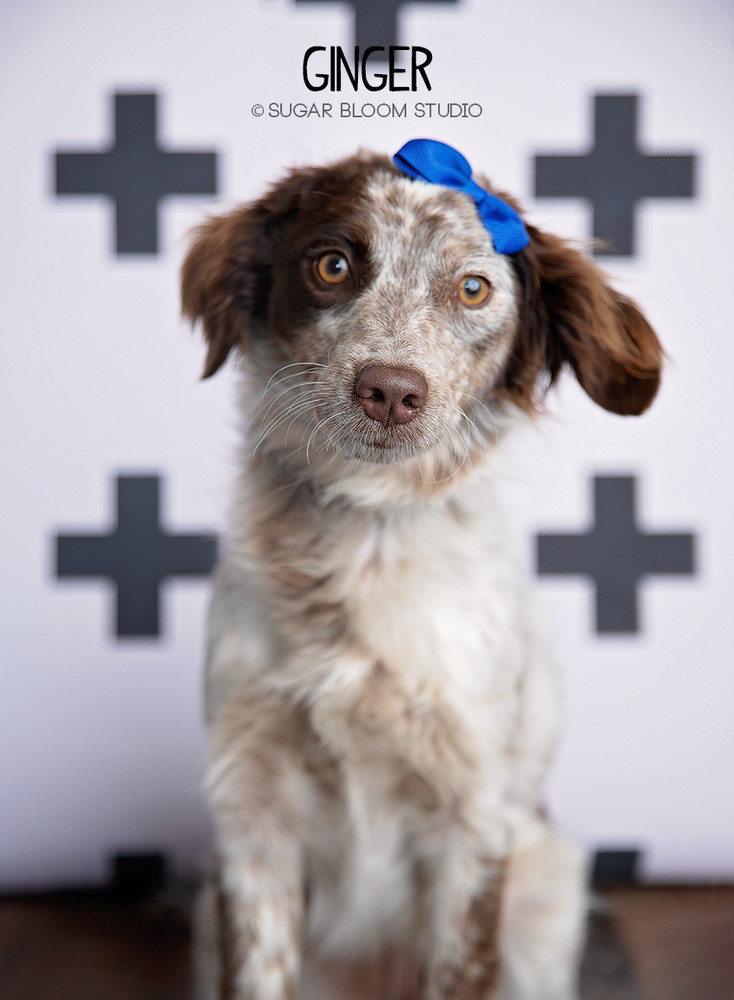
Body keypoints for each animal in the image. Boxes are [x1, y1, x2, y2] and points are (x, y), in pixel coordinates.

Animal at [181, 135, 664, 1000]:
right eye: (333, 265)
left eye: (473, 287)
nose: (390, 391)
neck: (365, 532)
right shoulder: (251, 811)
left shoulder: (471, 824)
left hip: (546, 890)